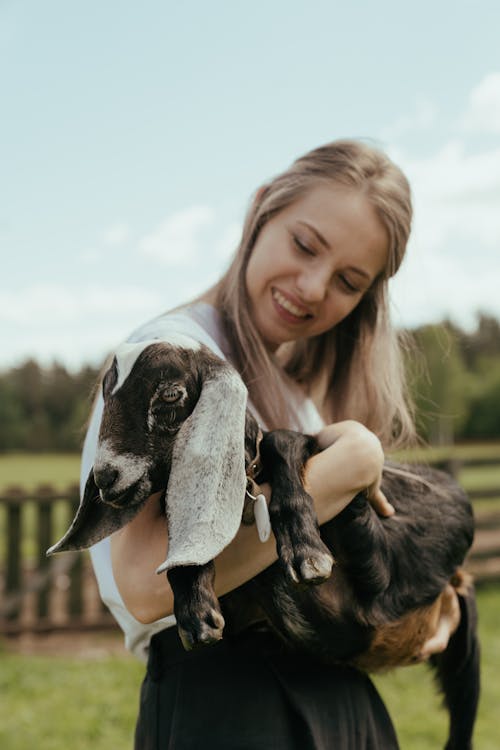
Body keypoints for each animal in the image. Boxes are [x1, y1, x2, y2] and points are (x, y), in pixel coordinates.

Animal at [47, 340, 480, 750]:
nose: (105, 476)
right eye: (106, 393)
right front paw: (195, 610)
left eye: (170, 394)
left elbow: (282, 441)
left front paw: (306, 552)